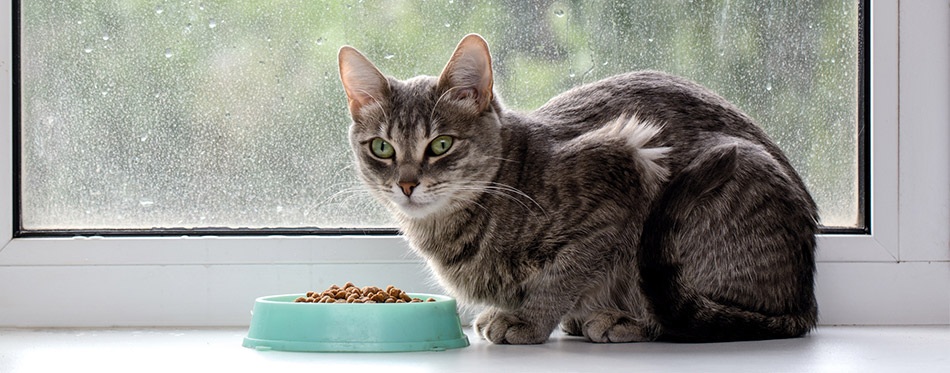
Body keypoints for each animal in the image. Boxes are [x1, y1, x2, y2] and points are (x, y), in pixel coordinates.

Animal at [338, 33, 820, 342]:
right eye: (381, 147)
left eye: (441, 144)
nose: (407, 184)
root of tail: (804, 304)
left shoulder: (624, 171)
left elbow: (563, 273)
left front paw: (528, 320)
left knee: (679, 314)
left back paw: (622, 320)